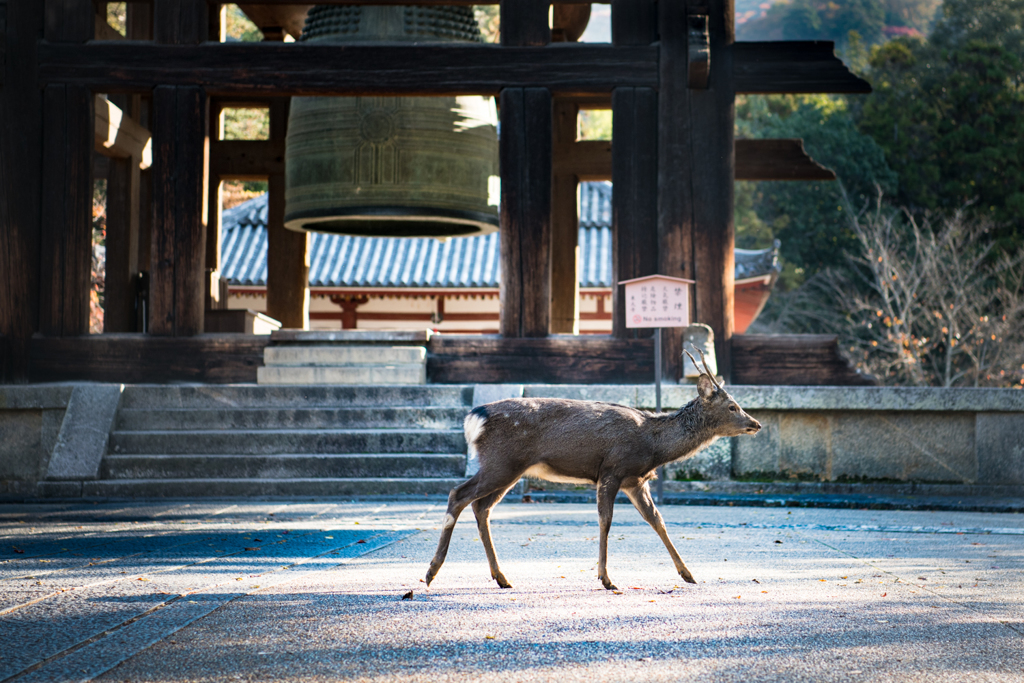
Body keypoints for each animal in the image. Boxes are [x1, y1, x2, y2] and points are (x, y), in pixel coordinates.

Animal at [421, 348, 761, 593]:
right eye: (732, 406)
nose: (756, 423)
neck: (652, 445)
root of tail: (474, 417)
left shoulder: (636, 480)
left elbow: (657, 521)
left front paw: (688, 573)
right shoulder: (612, 469)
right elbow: (605, 521)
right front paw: (606, 578)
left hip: (510, 469)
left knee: (482, 506)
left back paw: (501, 577)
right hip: (500, 462)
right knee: (458, 494)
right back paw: (431, 571)